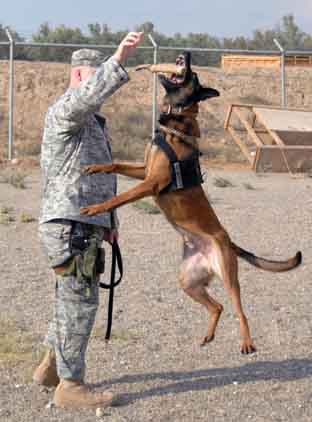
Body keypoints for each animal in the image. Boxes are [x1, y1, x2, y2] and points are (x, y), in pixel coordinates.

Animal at [80, 53, 302, 356]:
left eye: (193, 76)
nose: (186, 54)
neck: (176, 121)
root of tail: (225, 244)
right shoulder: (144, 171)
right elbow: (115, 164)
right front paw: (95, 167)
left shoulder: (151, 183)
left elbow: (119, 197)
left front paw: (96, 208)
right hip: (188, 282)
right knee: (217, 306)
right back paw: (208, 335)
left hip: (228, 277)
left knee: (240, 310)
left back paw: (246, 342)